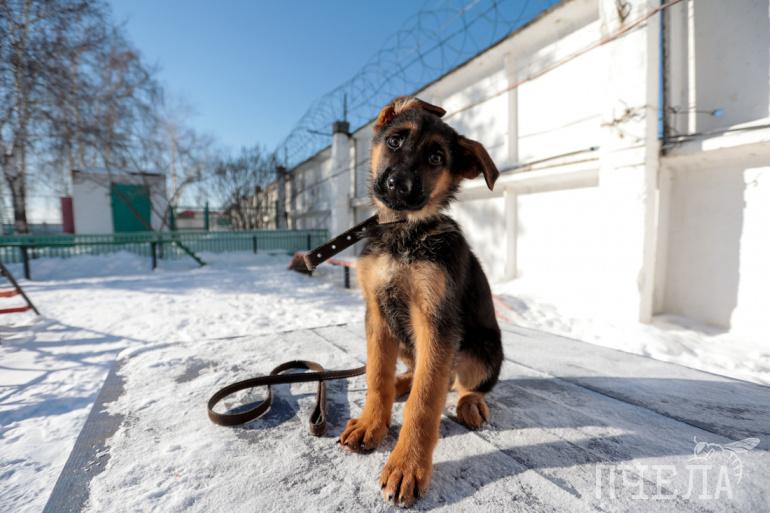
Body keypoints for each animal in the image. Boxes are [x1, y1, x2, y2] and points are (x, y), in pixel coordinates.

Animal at [338, 96, 503, 507]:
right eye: (395, 141)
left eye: (435, 158)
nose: (397, 184)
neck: (404, 231)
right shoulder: (378, 315)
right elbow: (376, 375)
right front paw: (371, 423)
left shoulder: (436, 321)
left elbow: (426, 400)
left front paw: (406, 465)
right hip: (405, 340)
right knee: (419, 372)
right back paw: (403, 383)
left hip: (482, 349)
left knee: (463, 384)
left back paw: (470, 403)